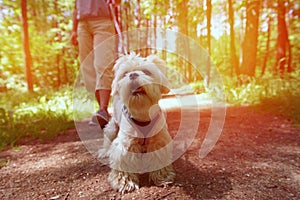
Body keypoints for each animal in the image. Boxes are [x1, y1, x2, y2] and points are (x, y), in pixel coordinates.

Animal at [99, 53, 176, 194]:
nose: (133, 75)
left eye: (146, 72)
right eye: (125, 73)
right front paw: (124, 183)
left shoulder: (159, 141)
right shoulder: (125, 145)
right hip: (112, 128)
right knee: (108, 139)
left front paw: (163, 176)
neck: (142, 115)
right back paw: (104, 151)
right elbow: (123, 163)